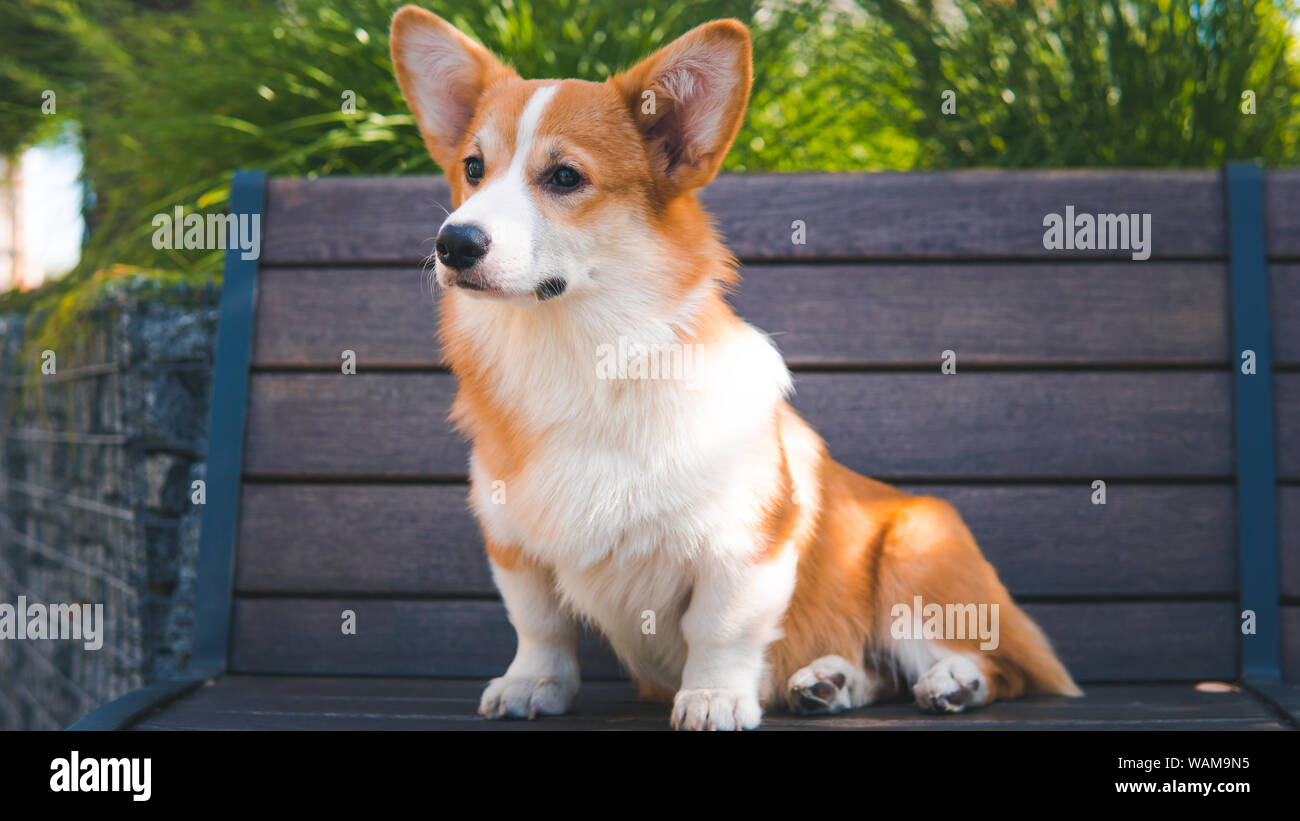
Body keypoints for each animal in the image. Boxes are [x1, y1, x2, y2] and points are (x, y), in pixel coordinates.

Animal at [390, 4, 1081, 722]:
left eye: (564, 177)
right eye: (473, 167)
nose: (452, 243)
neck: (573, 353)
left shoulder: (745, 546)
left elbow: (718, 628)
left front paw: (714, 697)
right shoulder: (514, 545)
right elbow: (539, 624)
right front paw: (531, 684)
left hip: (919, 555)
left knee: (997, 664)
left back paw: (953, 681)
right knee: (876, 670)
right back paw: (829, 680)